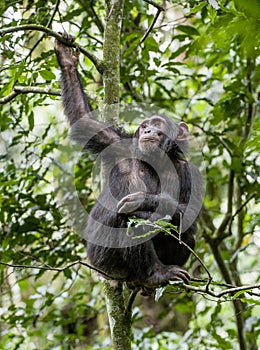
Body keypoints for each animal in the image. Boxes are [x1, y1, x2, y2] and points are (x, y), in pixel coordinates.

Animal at [53, 34, 202, 292]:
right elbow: (84, 121)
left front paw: (143, 199)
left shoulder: (191, 172)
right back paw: (155, 275)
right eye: (144, 125)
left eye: (157, 124)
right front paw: (67, 58)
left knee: (186, 231)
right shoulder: (117, 144)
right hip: (103, 259)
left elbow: (191, 212)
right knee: (128, 219)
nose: (148, 130)